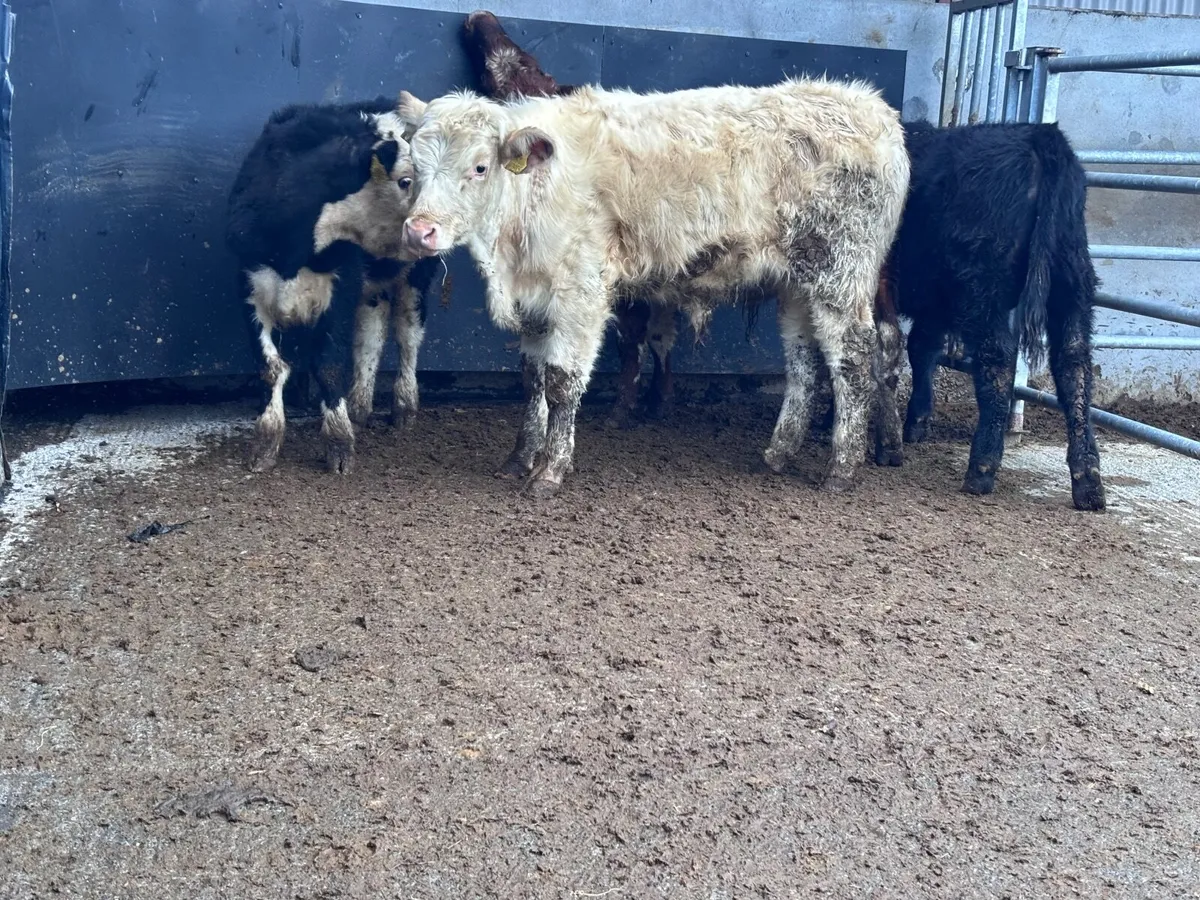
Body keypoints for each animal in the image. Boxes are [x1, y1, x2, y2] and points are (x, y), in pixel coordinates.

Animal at [226, 98, 439, 475]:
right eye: (405, 180)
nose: (427, 230)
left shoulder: (339, 292)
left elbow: (326, 365)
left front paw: (339, 442)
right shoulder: (250, 287)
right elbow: (271, 367)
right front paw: (265, 442)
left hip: (416, 276)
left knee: (408, 338)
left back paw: (403, 407)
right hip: (373, 286)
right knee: (371, 336)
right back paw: (359, 407)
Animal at [395, 78, 910, 497]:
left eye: (480, 167)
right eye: (413, 169)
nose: (419, 231)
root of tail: (872, 107)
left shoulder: (580, 291)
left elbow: (561, 384)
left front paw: (550, 470)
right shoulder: (535, 299)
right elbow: (533, 380)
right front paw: (520, 457)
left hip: (841, 277)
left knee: (853, 361)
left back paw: (841, 469)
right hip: (797, 286)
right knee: (803, 366)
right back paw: (779, 454)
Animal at [881, 120, 1104, 511]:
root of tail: (1038, 135)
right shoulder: (936, 301)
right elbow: (922, 349)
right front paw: (916, 422)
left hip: (983, 287)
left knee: (998, 360)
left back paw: (982, 466)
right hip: (1073, 282)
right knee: (1074, 364)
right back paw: (1088, 478)